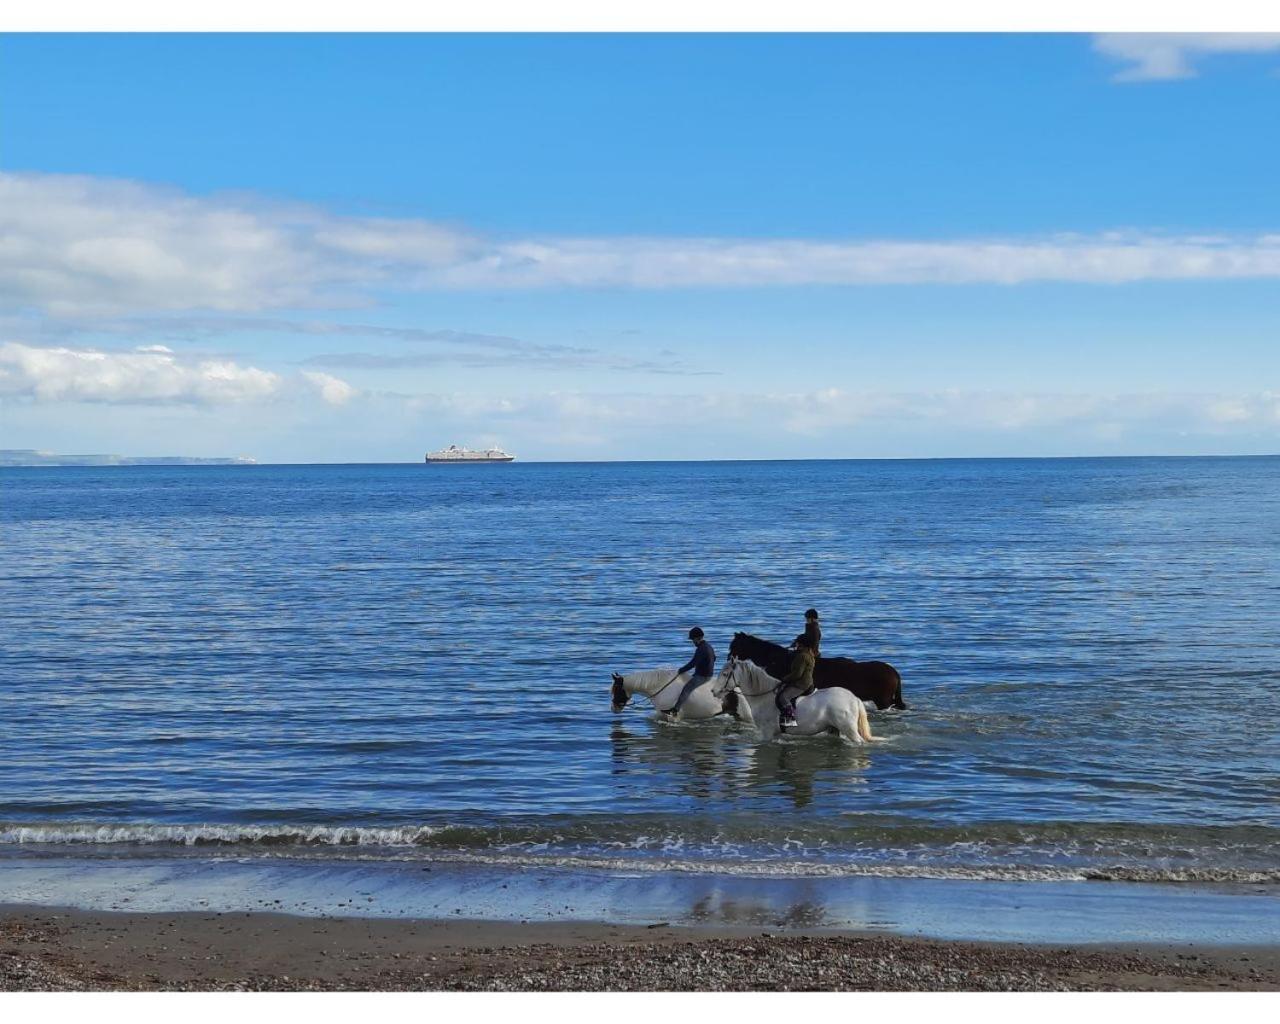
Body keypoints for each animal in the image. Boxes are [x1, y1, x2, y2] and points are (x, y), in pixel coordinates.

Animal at [716, 655, 875, 742]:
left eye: (725, 674)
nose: (714, 691)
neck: (763, 696)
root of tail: (854, 698)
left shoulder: (767, 733)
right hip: (834, 729)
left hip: (849, 729)